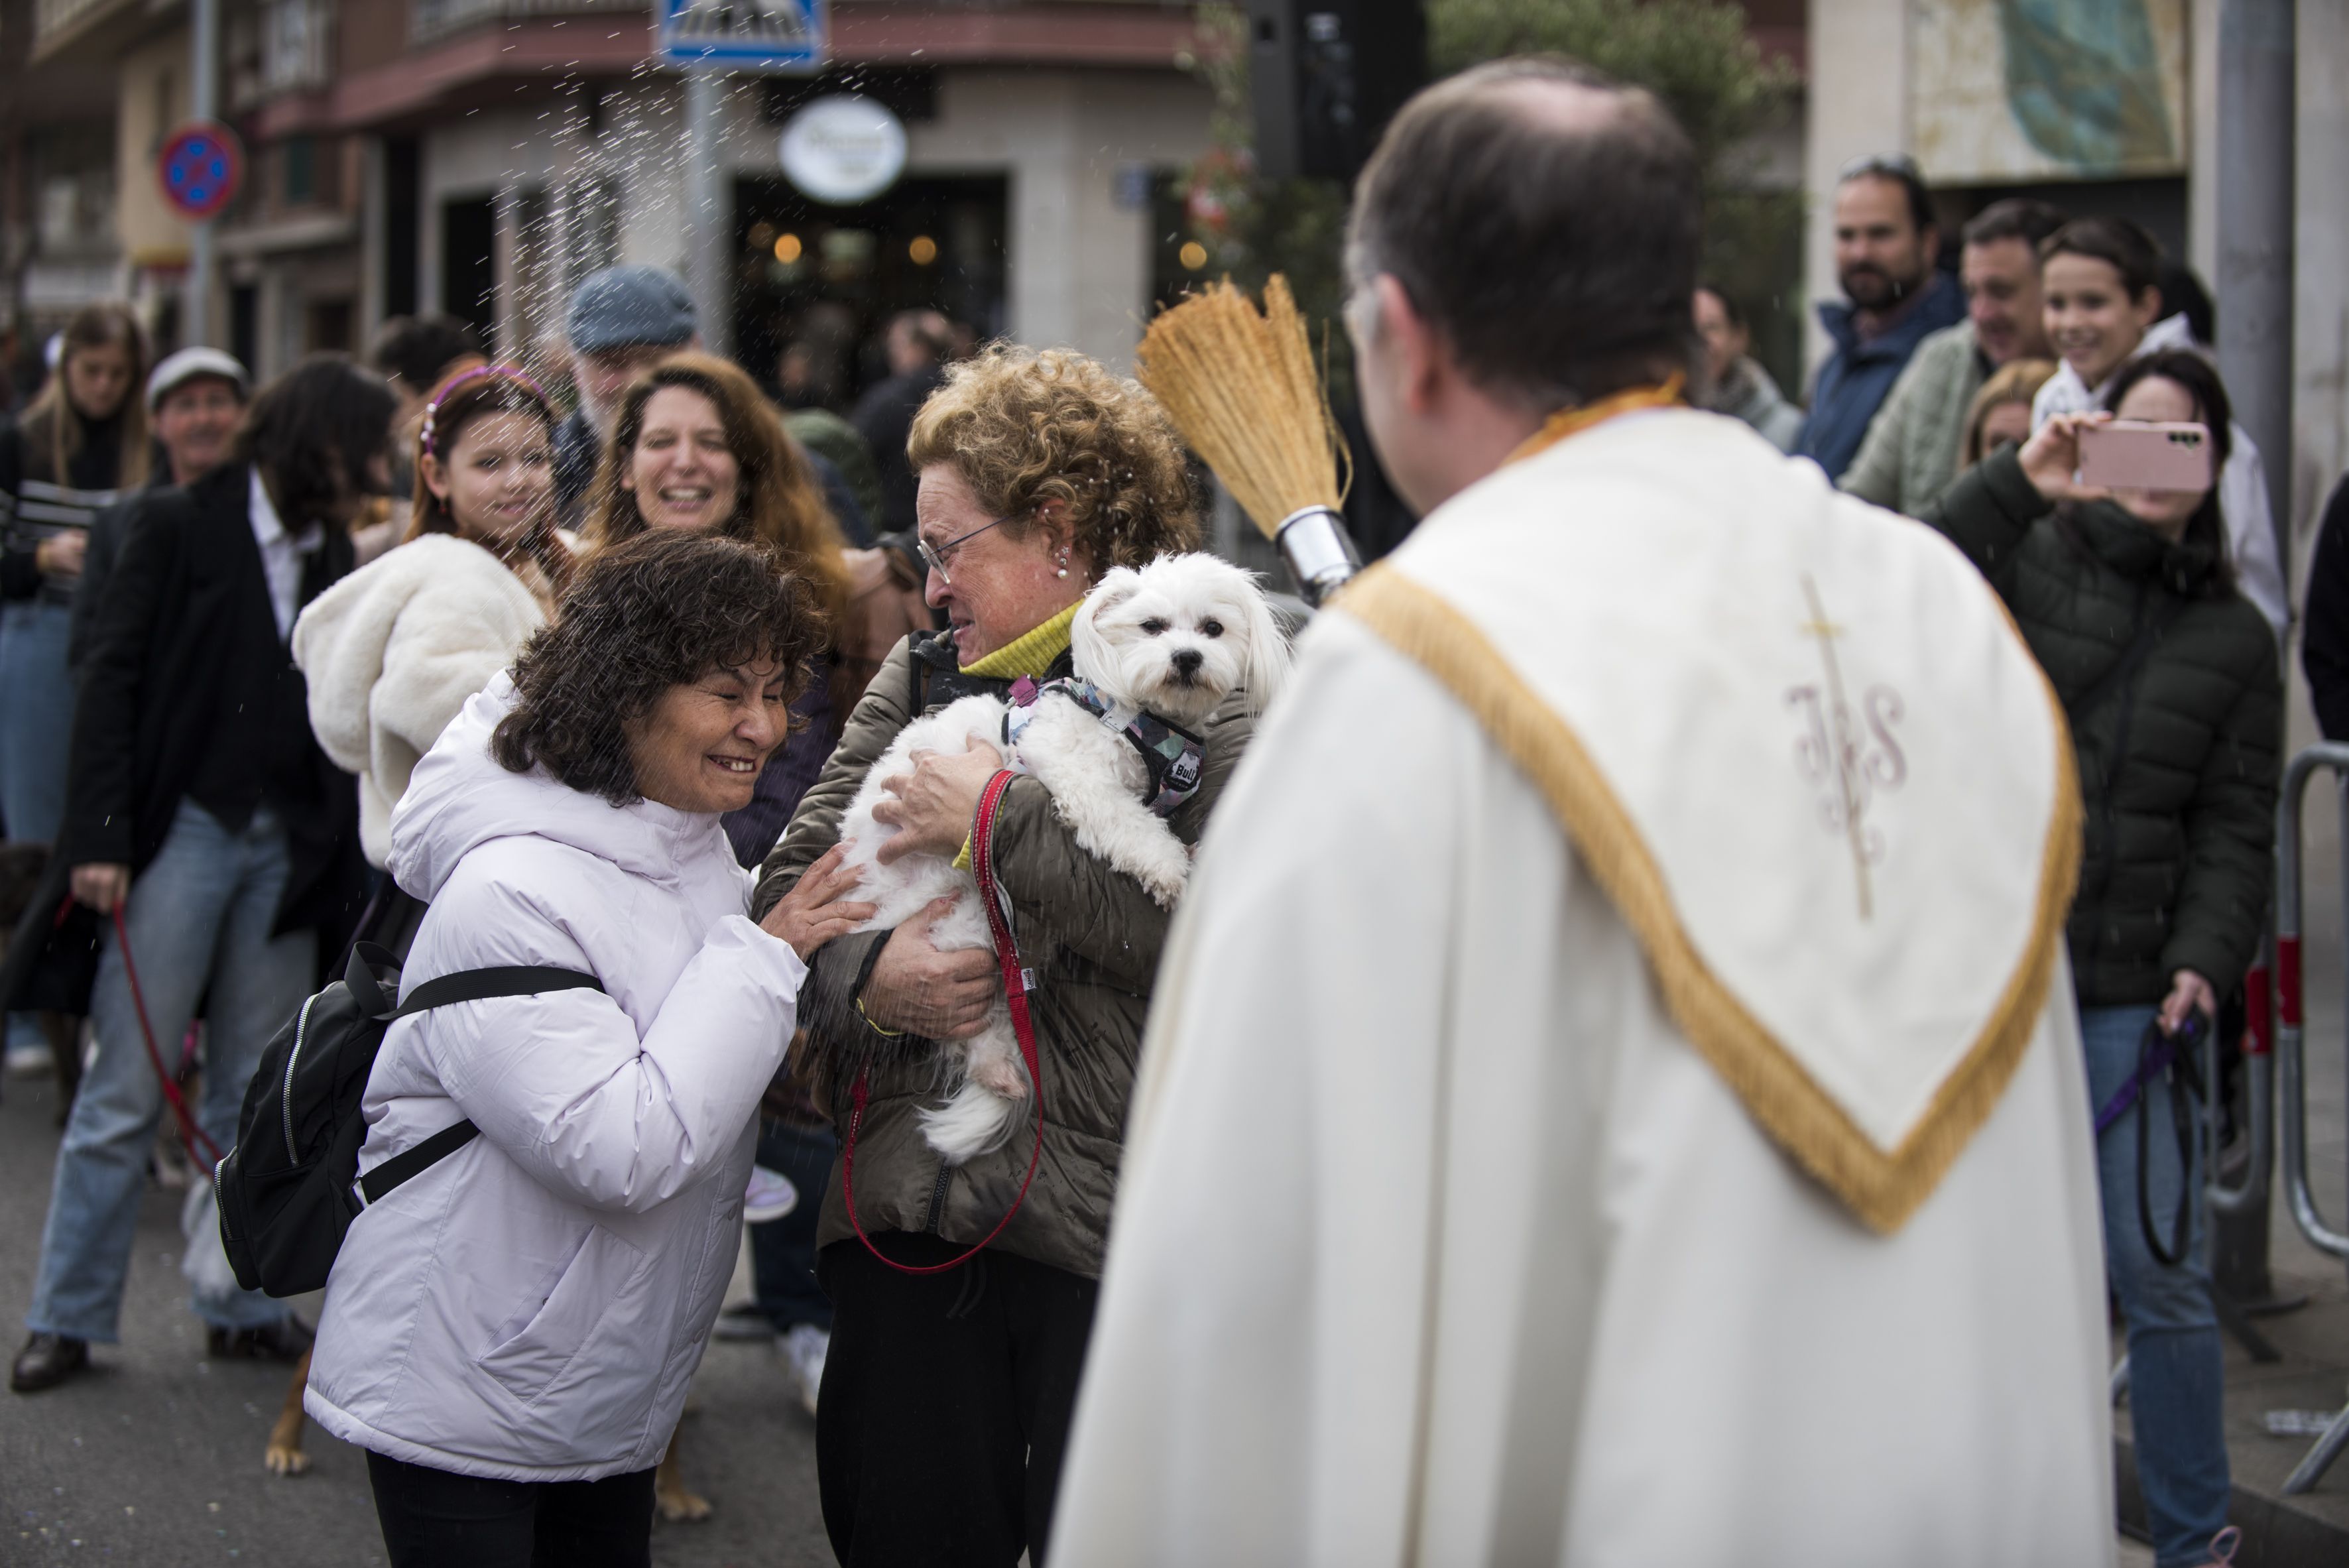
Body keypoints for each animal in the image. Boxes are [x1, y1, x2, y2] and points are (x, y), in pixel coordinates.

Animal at [841, 554, 1287, 1164]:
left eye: (1212, 629)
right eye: (1152, 626)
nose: (1187, 657)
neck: (1140, 719)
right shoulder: (1079, 777)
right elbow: (1132, 826)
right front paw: (1172, 871)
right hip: (959, 914)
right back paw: (995, 1067)